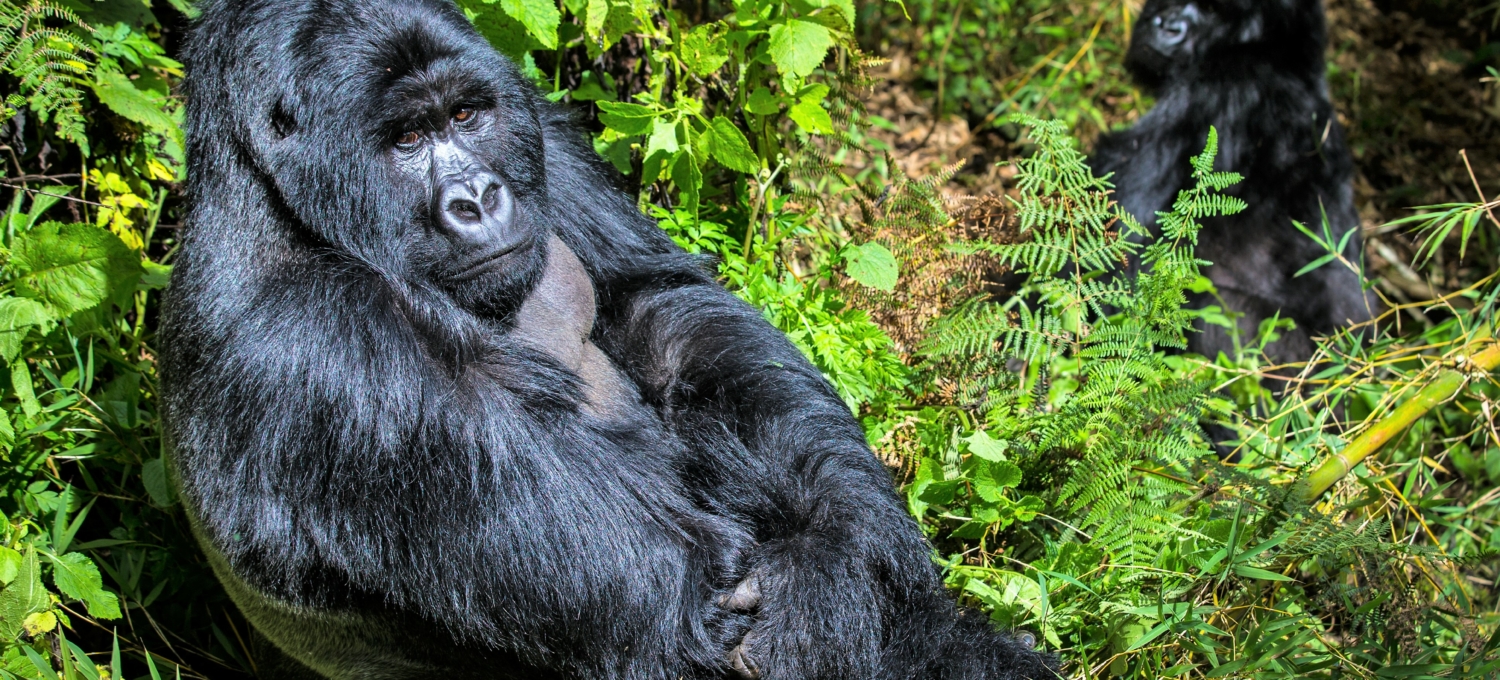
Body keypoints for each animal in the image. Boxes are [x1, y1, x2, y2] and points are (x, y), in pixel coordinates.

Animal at [158, 1, 1062, 678]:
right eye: (406, 140)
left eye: (465, 114)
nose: (477, 198)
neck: (279, 204)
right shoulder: (321, 342)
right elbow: (696, 605)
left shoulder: (536, 128)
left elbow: (660, 307)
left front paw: (833, 552)